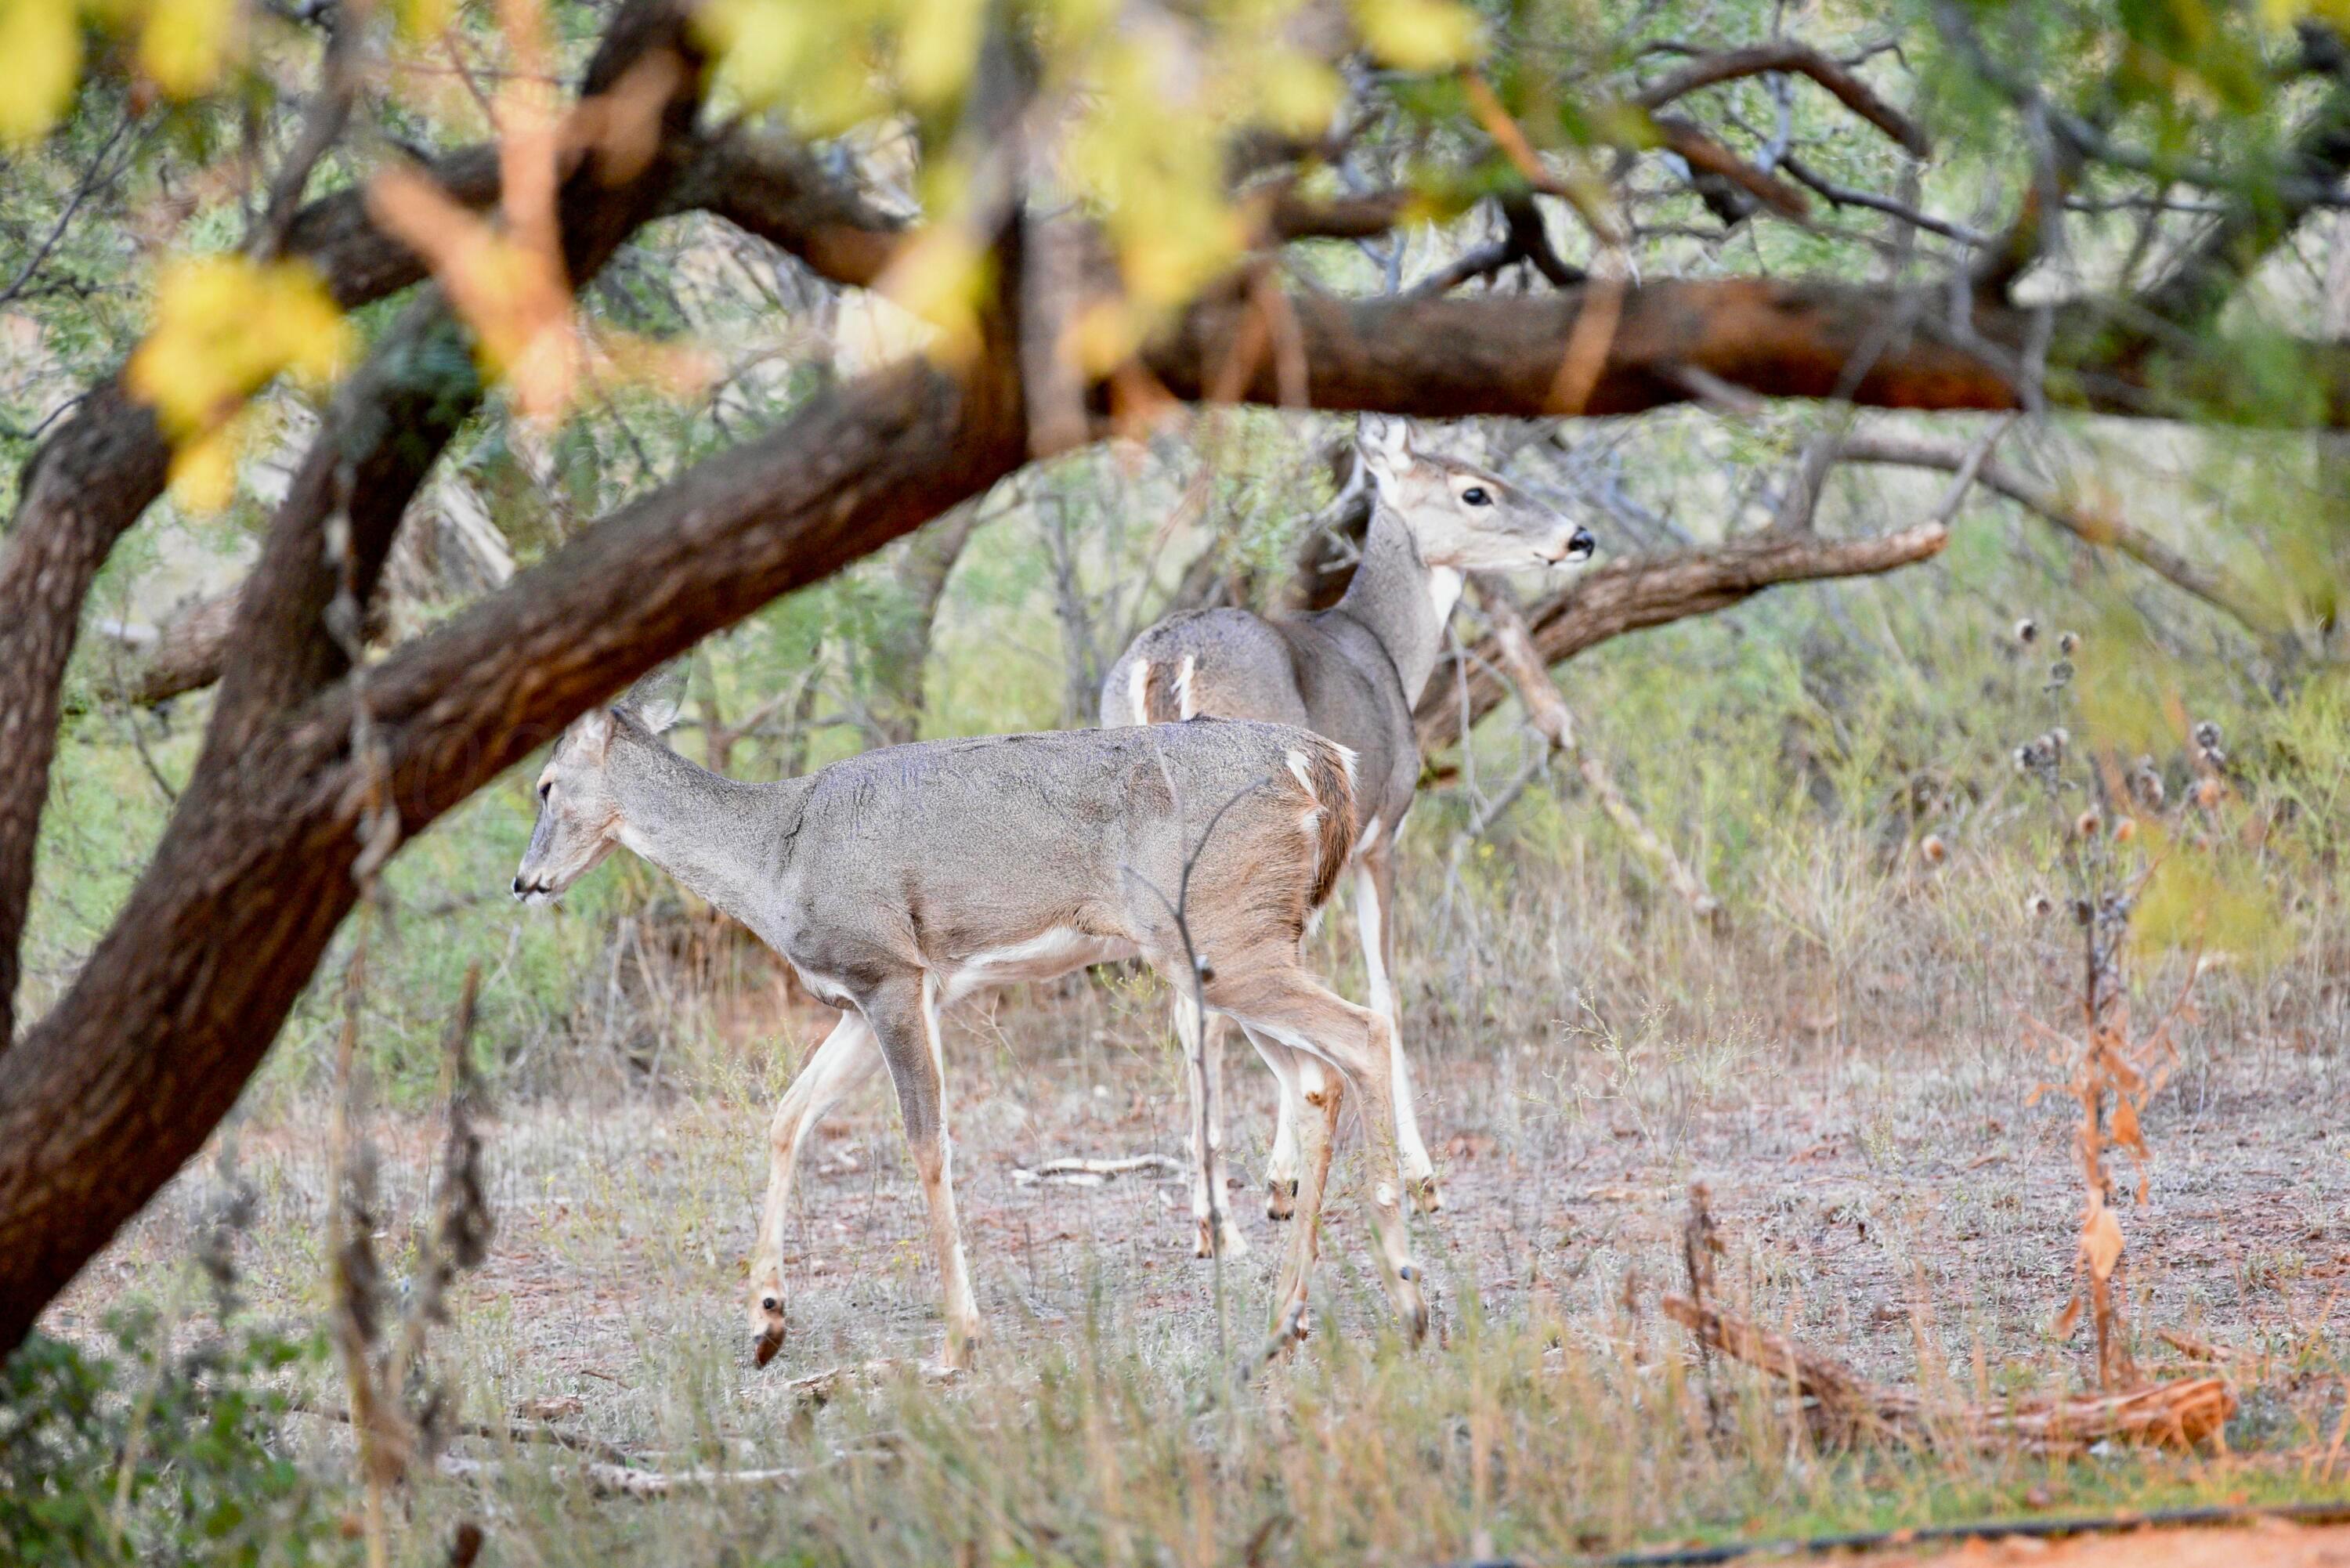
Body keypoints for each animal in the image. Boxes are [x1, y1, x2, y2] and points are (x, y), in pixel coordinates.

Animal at [515, 667, 1419, 1382]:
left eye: (546, 785)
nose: (524, 882)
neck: (776, 856)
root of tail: (1322, 764)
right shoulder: (865, 996)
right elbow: (787, 1116)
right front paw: (766, 1320)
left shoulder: (891, 972)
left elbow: (926, 1142)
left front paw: (957, 1342)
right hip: (1229, 946)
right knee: (1320, 1077)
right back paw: (1285, 1321)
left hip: (1223, 938)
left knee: (1364, 1034)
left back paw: (1407, 1294)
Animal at [1104, 411, 1598, 1259]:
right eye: (1476, 489)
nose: (1579, 536)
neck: (1387, 650)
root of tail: (1168, 666)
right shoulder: (1380, 834)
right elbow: (1383, 989)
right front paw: (1413, 1179)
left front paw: (1287, 1179)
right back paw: (1224, 1214)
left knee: (1189, 1000)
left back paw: (1210, 1217)